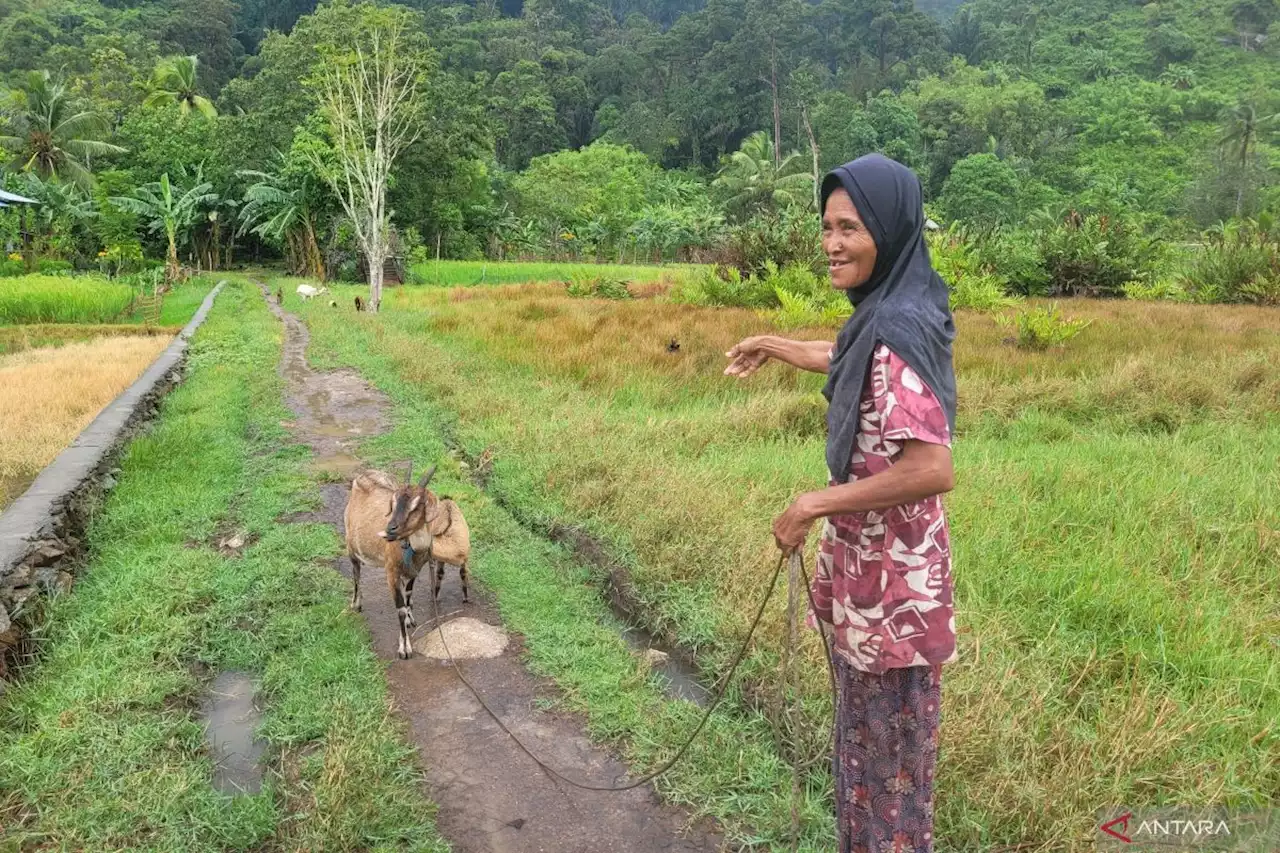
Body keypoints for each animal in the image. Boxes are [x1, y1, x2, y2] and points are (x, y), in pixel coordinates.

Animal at [345, 461, 471, 653]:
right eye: (393, 502)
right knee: (356, 572)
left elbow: (408, 594)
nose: (390, 529)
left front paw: (410, 619)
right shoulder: (391, 572)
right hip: (350, 545)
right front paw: (404, 647)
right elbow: (400, 608)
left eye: (417, 505)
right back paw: (356, 603)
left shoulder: (415, 570)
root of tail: (363, 476)